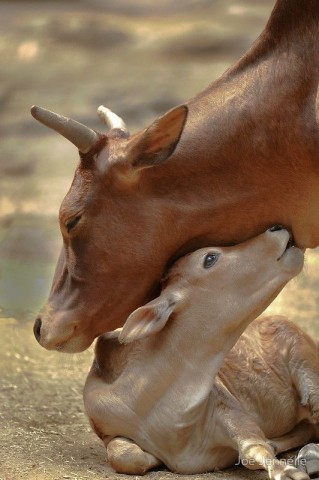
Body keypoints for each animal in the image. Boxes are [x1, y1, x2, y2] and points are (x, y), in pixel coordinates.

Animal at [84, 230, 318, 480]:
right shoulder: (107, 430)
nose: (277, 229)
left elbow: (254, 448)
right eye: (209, 258)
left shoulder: (231, 410)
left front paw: (288, 471)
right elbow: (126, 456)